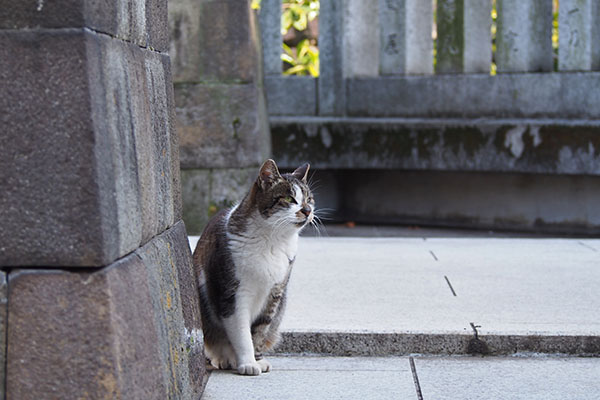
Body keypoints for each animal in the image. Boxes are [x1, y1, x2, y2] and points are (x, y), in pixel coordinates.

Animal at [191, 159, 314, 376]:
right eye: (289, 198)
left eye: (309, 199)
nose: (307, 210)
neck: (272, 240)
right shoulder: (233, 294)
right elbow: (241, 333)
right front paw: (247, 363)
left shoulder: (274, 293)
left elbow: (259, 330)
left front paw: (257, 360)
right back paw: (225, 358)